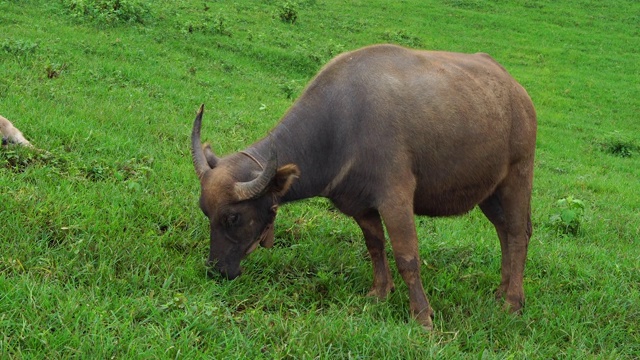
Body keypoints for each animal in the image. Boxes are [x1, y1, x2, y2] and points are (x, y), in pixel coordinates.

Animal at [189, 43, 536, 330]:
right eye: (205, 212)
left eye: (233, 217)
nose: (217, 271)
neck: (340, 127)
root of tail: (518, 93)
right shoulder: (359, 204)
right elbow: (375, 246)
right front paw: (380, 292)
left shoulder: (395, 198)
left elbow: (407, 257)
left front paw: (423, 316)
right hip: (489, 191)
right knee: (504, 232)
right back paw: (501, 290)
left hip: (518, 176)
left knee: (518, 234)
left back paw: (512, 302)